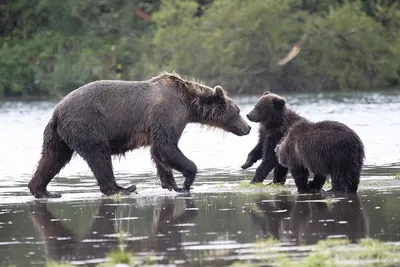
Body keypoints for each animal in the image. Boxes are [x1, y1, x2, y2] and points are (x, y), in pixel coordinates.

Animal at [28, 72, 250, 198]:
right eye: (238, 111)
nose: (247, 127)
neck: (189, 104)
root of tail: (56, 111)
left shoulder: (156, 126)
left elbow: (159, 153)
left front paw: (172, 185)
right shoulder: (168, 112)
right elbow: (166, 146)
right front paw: (187, 181)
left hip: (59, 136)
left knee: (53, 158)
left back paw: (44, 190)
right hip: (87, 124)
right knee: (99, 156)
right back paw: (122, 188)